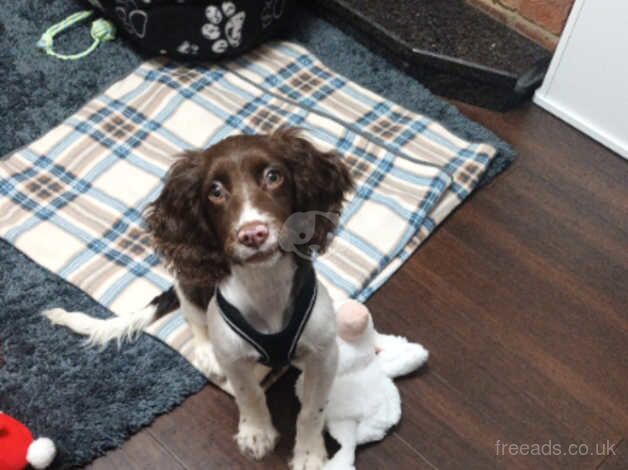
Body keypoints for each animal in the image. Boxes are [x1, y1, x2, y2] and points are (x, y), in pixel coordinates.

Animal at [44, 126, 354, 468]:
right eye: (215, 192)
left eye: (273, 176)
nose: (252, 234)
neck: (264, 283)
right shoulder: (232, 355)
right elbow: (248, 393)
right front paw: (256, 433)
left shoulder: (324, 354)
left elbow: (312, 409)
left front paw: (309, 454)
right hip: (188, 279)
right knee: (194, 315)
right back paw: (206, 352)